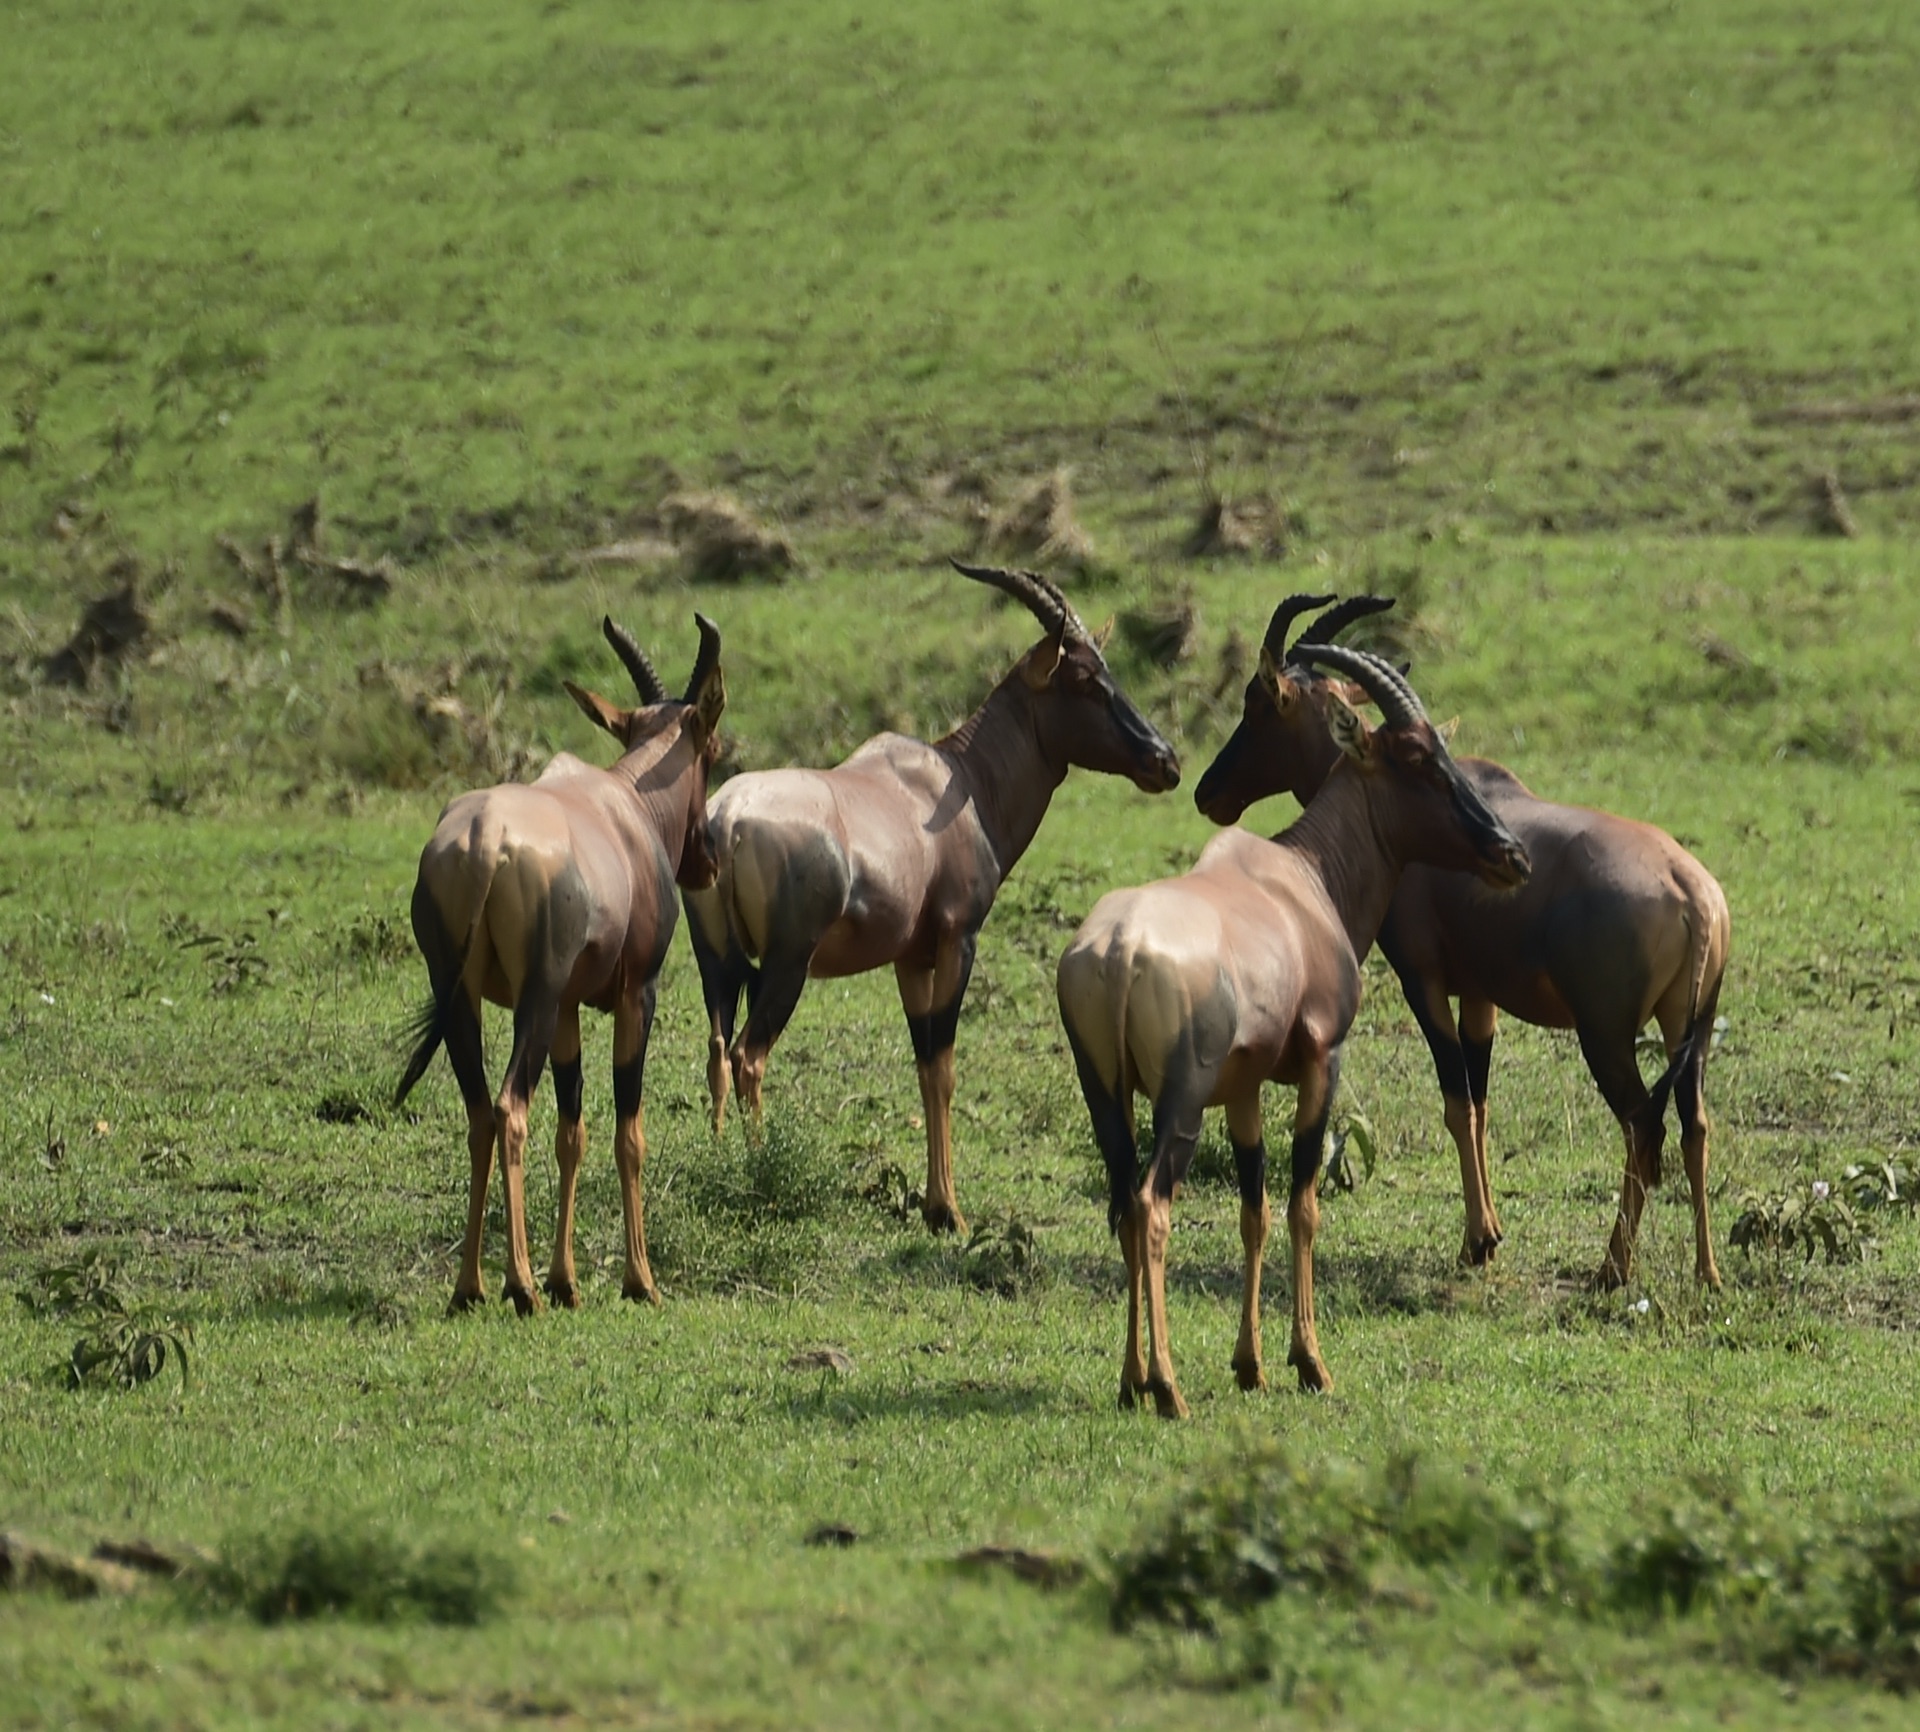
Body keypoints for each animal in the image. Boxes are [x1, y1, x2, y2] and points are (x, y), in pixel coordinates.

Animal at [393, 622, 721, 1313]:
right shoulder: (635, 994)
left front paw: (566, 1280)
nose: (706, 860)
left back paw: (470, 1288)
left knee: (480, 1114)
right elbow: (628, 1133)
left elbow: (572, 1133)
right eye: (712, 746)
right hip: (534, 1003)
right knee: (510, 1108)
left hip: (461, 997)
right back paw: (519, 1288)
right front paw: (639, 1281)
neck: (623, 806)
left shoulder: (570, 1007)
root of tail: (484, 840)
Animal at [683, 564, 1175, 1244]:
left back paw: (719, 1159)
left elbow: (922, 1068)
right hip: (787, 964)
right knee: (747, 1056)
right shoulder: (955, 940)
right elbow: (943, 1067)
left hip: (719, 963)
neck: (955, 779)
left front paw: (932, 1203)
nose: (1165, 761)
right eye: (1082, 678)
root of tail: (728, 817)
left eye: (1108, 669)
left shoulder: (909, 958)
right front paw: (949, 1211)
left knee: (716, 1051)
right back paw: (757, 1172)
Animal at [1052, 645, 1528, 1420]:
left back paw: (1130, 1381)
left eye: (1445, 750)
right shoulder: (1320, 1064)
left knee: (1123, 1203)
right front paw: (1310, 1363)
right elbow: (1305, 1204)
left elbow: (1257, 1212)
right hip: (1180, 1103)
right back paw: (1168, 1387)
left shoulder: (1244, 1093)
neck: (1299, 880)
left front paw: (1250, 1366)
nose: (1511, 854)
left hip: (1106, 1095)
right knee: (1152, 1207)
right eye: (1417, 758)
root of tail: (1120, 949)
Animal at [1190, 595, 1735, 1290]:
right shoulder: (1480, 996)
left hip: (1606, 1034)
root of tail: (1692, 891)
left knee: (1643, 1126)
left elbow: (1455, 1102)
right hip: (1690, 1026)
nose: (1209, 792)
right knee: (1695, 1124)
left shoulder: (1422, 980)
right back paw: (1707, 1270)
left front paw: (1477, 1242)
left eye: (1260, 703)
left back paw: (1612, 1268)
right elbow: (1479, 1102)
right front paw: (1490, 1234)